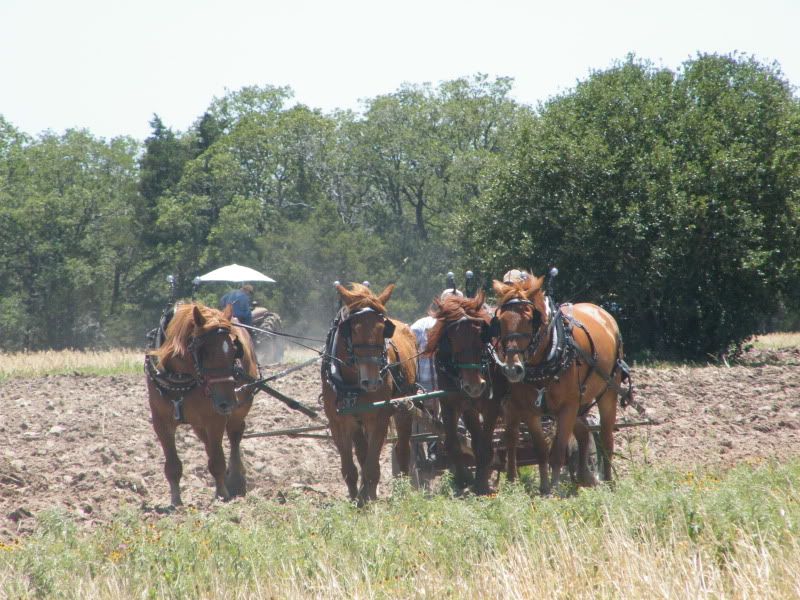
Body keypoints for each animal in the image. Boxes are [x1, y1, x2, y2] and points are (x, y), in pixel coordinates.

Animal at [145, 302, 259, 506]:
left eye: (234, 349)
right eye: (205, 351)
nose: (228, 402)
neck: (181, 378)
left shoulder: (215, 418)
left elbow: (217, 460)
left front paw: (222, 493)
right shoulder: (161, 421)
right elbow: (172, 465)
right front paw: (175, 500)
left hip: (238, 411)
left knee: (235, 436)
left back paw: (236, 480)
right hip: (199, 423)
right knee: (209, 443)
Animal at [321, 283, 417, 504]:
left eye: (384, 329)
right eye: (353, 330)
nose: (372, 381)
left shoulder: (379, 417)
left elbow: (372, 465)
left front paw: (369, 498)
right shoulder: (338, 421)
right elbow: (349, 467)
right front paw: (355, 498)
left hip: (404, 408)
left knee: (402, 449)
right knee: (362, 451)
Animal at [424, 291, 507, 494]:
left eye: (480, 338)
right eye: (452, 340)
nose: (475, 386)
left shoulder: (491, 406)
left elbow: (484, 447)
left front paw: (481, 485)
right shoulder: (455, 405)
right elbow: (454, 444)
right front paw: (463, 479)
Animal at [490, 274, 631, 494]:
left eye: (530, 319)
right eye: (501, 321)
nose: (513, 369)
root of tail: (602, 312)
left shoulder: (568, 406)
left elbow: (557, 450)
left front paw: (555, 488)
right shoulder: (529, 410)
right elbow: (541, 449)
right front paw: (544, 486)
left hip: (607, 392)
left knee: (606, 437)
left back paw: (607, 481)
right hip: (581, 402)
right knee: (583, 433)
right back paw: (584, 477)